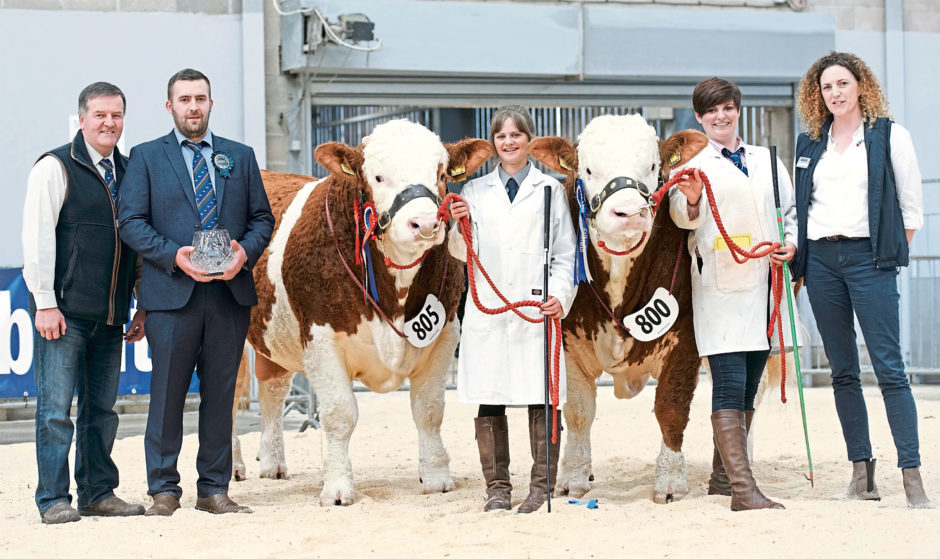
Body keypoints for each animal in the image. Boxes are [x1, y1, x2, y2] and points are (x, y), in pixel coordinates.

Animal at [233, 120, 492, 506]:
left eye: (442, 174)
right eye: (378, 176)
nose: (424, 223)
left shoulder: (445, 333)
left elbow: (429, 410)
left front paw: (436, 477)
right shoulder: (319, 338)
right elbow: (340, 414)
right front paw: (338, 488)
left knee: (274, 389)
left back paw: (273, 461)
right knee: (230, 398)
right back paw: (234, 466)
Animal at [532, 114, 700, 504]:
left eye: (654, 167)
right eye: (588, 169)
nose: (629, 212)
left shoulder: (686, 339)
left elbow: (671, 407)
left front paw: (670, 481)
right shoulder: (567, 341)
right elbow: (579, 411)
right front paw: (573, 477)